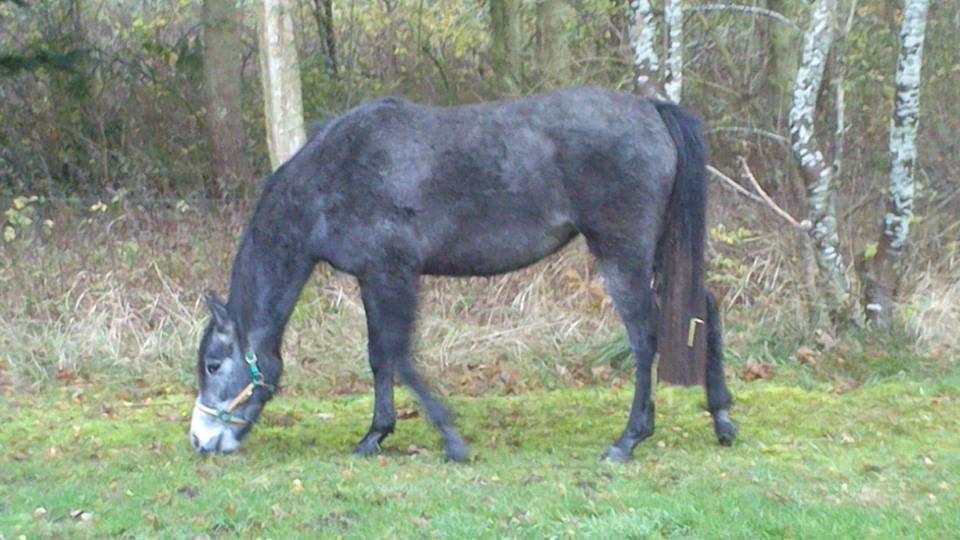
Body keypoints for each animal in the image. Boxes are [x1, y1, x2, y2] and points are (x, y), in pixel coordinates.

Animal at [191, 86, 740, 462]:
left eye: (214, 364)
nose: (200, 439)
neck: (334, 176)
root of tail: (651, 110)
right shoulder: (372, 278)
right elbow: (378, 357)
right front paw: (374, 435)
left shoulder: (395, 275)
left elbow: (398, 355)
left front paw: (450, 439)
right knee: (703, 306)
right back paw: (722, 418)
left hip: (622, 253)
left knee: (646, 337)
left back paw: (628, 440)